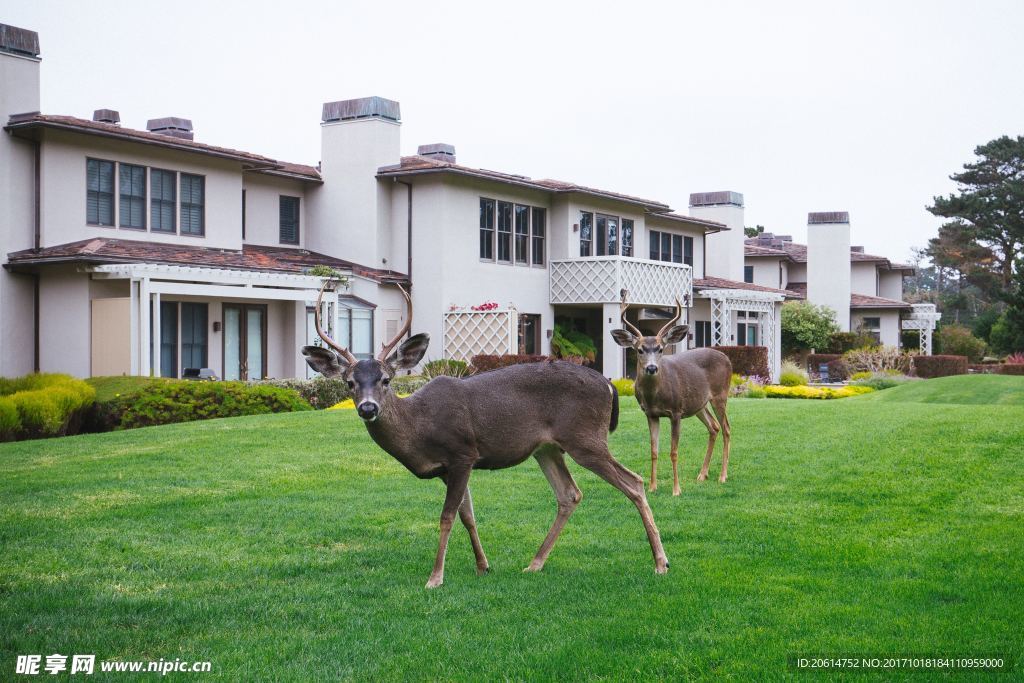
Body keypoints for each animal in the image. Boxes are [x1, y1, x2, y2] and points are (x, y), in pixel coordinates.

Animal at [299, 280, 667, 589]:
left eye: (386, 379)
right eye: (349, 383)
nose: (367, 408)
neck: (419, 430)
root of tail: (609, 385)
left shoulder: (463, 452)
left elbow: (447, 516)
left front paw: (435, 578)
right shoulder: (447, 469)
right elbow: (468, 515)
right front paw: (483, 566)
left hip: (585, 437)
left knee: (633, 482)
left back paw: (661, 562)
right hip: (547, 448)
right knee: (569, 494)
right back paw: (535, 563)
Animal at [610, 296, 733, 493]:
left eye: (660, 348)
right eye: (639, 349)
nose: (652, 368)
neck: (655, 396)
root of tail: (727, 358)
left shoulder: (676, 411)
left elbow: (674, 451)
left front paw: (676, 490)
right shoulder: (651, 414)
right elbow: (653, 450)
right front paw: (652, 487)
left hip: (720, 395)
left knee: (726, 428)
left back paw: (722, 476)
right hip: (699, 403)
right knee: (714, 427)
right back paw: (702, 474)